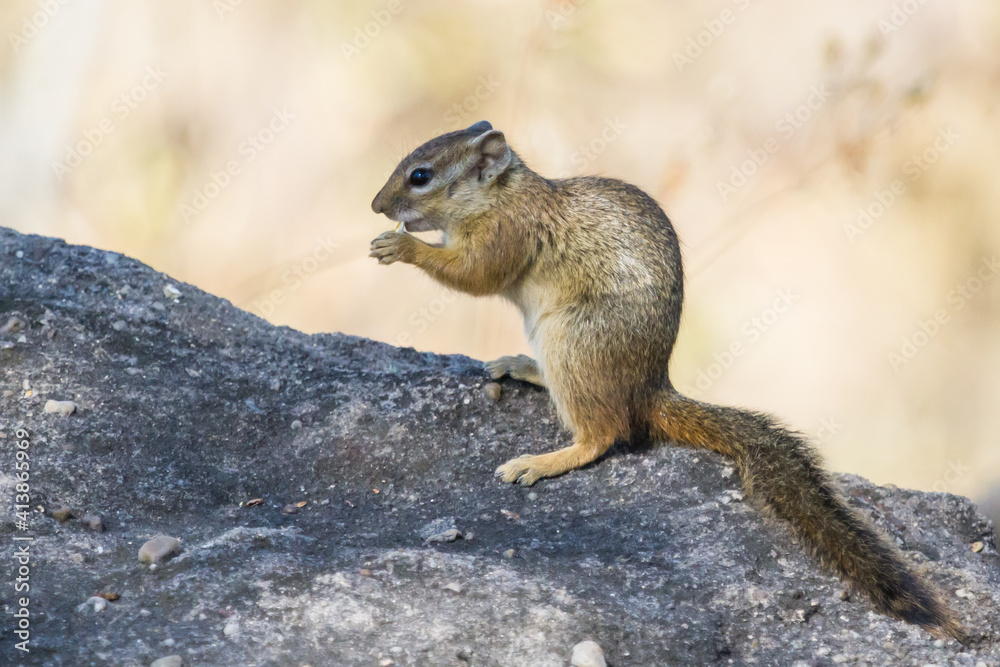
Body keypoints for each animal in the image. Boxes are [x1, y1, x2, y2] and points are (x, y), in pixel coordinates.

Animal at [369, 120, 966, 642]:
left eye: (420, 175)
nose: (376, 206)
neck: (500, 194)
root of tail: (650, 388)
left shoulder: (506, 232)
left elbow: (475, 274)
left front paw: (400, 247)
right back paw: (522, 367)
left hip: (572, 344)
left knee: (604, 433)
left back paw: (543, 461)